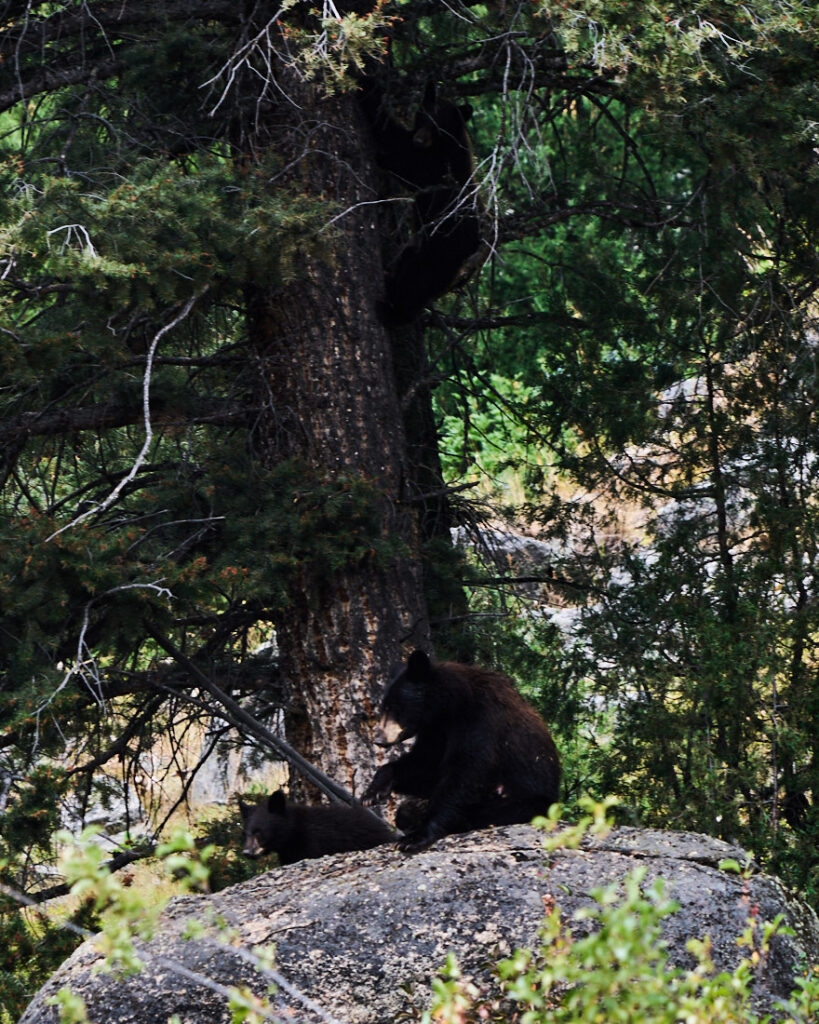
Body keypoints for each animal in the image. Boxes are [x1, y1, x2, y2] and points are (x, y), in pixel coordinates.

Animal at [361, 80, 483, 324]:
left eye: (438, 127)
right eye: (422, 117)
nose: (419, 140)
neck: (442, 145)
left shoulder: (441, 167)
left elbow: (403, 151)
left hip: (445, 245)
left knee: (421, 278)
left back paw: (393, 313)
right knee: (411, 265)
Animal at [363, 649, 561, 853]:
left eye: (395, 707)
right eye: (384, 707)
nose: (378, 739)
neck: (449, 707)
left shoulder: (480, 720)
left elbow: (465, 772)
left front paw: (414, 838)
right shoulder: (435, 730)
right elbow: (425, 764)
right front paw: (372, 792)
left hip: (527, 802)